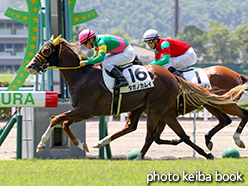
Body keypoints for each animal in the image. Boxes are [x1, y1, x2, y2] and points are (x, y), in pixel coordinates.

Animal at [25, 35, 246, 160]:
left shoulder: (86, 110)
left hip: (160, 109)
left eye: (46, 50)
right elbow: (62, 122)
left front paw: (44, 144)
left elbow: (57, 119)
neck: (82, 75)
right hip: (179, 108)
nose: (30, 66)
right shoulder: (82, 110)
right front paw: (84, 144)